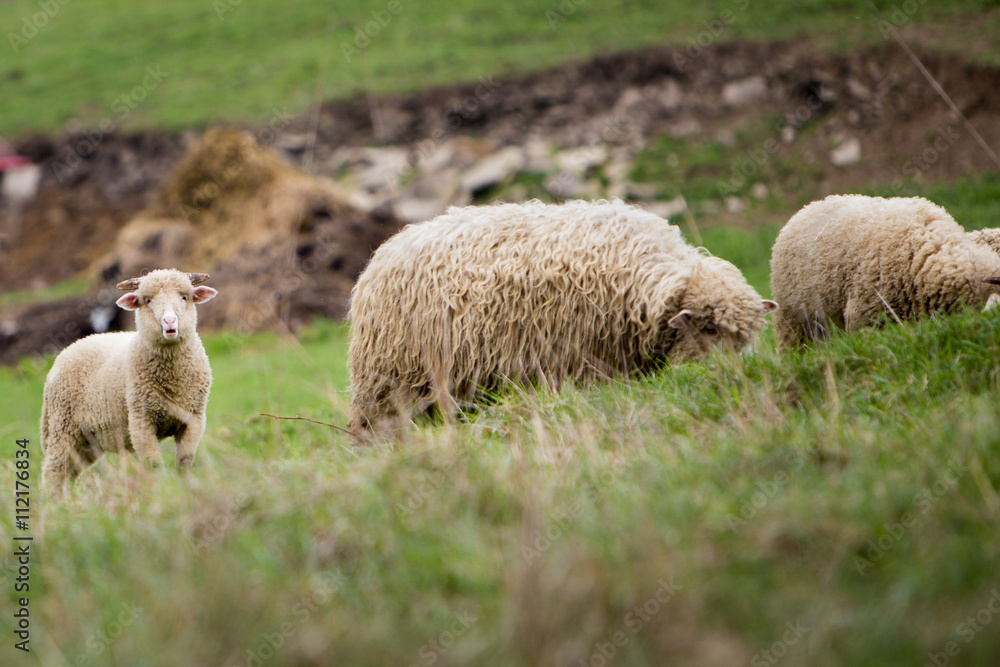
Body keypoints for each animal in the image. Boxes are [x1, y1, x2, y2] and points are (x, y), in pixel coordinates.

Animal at [40, 269, 218, 492]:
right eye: (148, 300)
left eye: (184, 297)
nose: (169, 321)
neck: (172, 379)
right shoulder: (141, 420)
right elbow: (154, 465)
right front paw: (159, 491)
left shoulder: (194, 418)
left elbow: (184, 462)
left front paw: (186, 488)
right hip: (62, 427)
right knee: (53, 473)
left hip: (88, 442)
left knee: (69, 473)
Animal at [348, 199, 777, 434]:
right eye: (709, 329)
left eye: (747, 336)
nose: (736, 378)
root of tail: (385, 251)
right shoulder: (581, 360)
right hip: (391, 380)